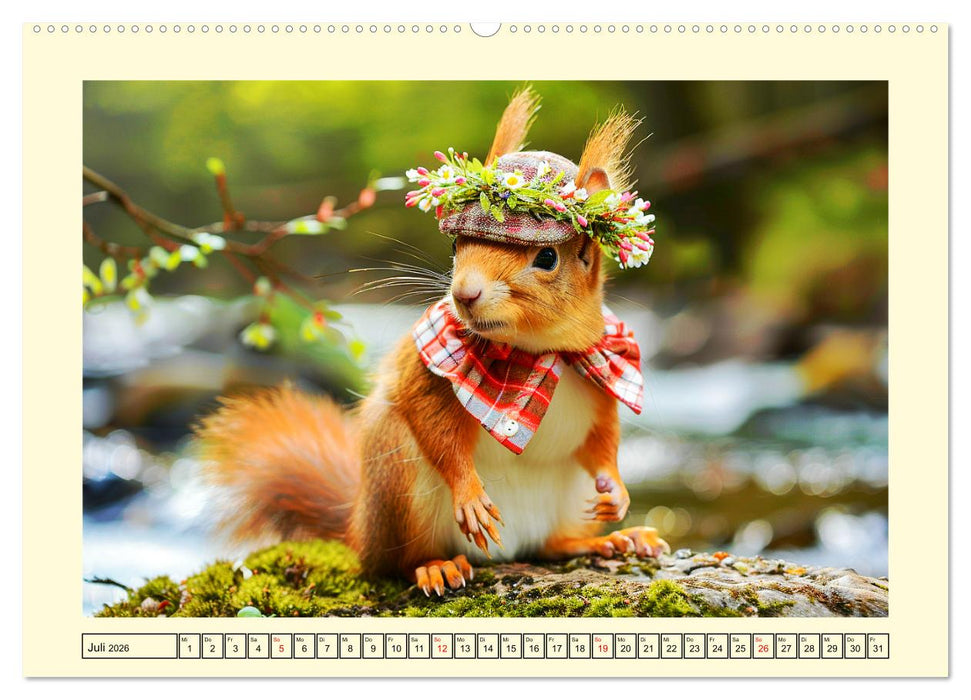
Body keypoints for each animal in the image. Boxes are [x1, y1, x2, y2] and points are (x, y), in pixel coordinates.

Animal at [195, 88, 670, 596]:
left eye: (546, 258)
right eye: (457, 245)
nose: (465, 293)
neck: (538, 353)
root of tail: (359, 528)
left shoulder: (602, 373)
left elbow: (605, 439)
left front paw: (617, 495)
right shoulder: (426, 368)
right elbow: (433, 423)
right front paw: (471, 496)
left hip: (565, 501)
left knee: (553, 544)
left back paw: (613, 539)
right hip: (400, 480)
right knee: (397, 560)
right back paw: (436, 566)